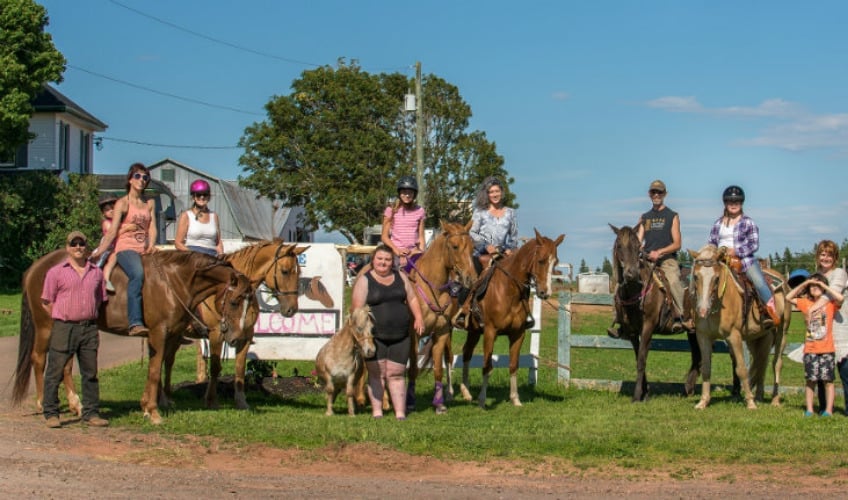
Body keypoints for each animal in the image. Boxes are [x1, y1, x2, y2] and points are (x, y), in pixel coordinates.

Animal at [12, 250, 255, 422]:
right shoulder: (159, 332)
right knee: (38, 359)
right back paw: (42, 403)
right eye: (235, 302)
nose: (237, 338)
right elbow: (155, 370)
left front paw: (149, 405)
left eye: (250, 302)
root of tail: (35, 268)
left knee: (66, 365)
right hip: (46, 325)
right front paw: (152, 411)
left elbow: (157, 367)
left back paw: (76, 405)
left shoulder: (168, 335)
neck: (174, 280)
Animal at [186, 241, 308, 410]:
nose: (292, 309)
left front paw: (241, 402)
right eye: (284, 271)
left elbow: (240, 368)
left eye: (299, 272)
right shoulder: (216, 334)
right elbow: (216, 367)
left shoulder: (245, 337)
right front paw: (211, 401)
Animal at [458, 229, 564, 408]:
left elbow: (514, 365)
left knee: (466, 353)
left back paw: (466, 392)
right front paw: (482, 400)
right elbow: (487, 366)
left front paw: (515, 399)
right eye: (541, 260)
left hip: (474, 331)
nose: (545, 293)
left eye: (555, 262)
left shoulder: (518, 333)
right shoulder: (490, 332)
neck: (508, 290)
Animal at [608, 225, 704, 404]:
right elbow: (639, 357)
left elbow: (641, 359)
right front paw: (644, 393)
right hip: (693, 331)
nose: (631, 274)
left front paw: (637, 396)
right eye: (619, 246)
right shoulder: (632, 331)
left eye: (638, 247)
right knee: (697, 356)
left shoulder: (648, 326)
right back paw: (689, 389)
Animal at [688, 245, 788, 410]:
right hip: (760, 337)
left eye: (716, 278)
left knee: (777, 363)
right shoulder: (703, 336)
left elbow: (741, 369)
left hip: (782, 331)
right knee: (762, 362)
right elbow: (706, 368)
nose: (702, 310)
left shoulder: (734, 336)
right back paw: (759, 396)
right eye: (696, 276)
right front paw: (703, 402)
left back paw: (774, 399)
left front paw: (750, 402)